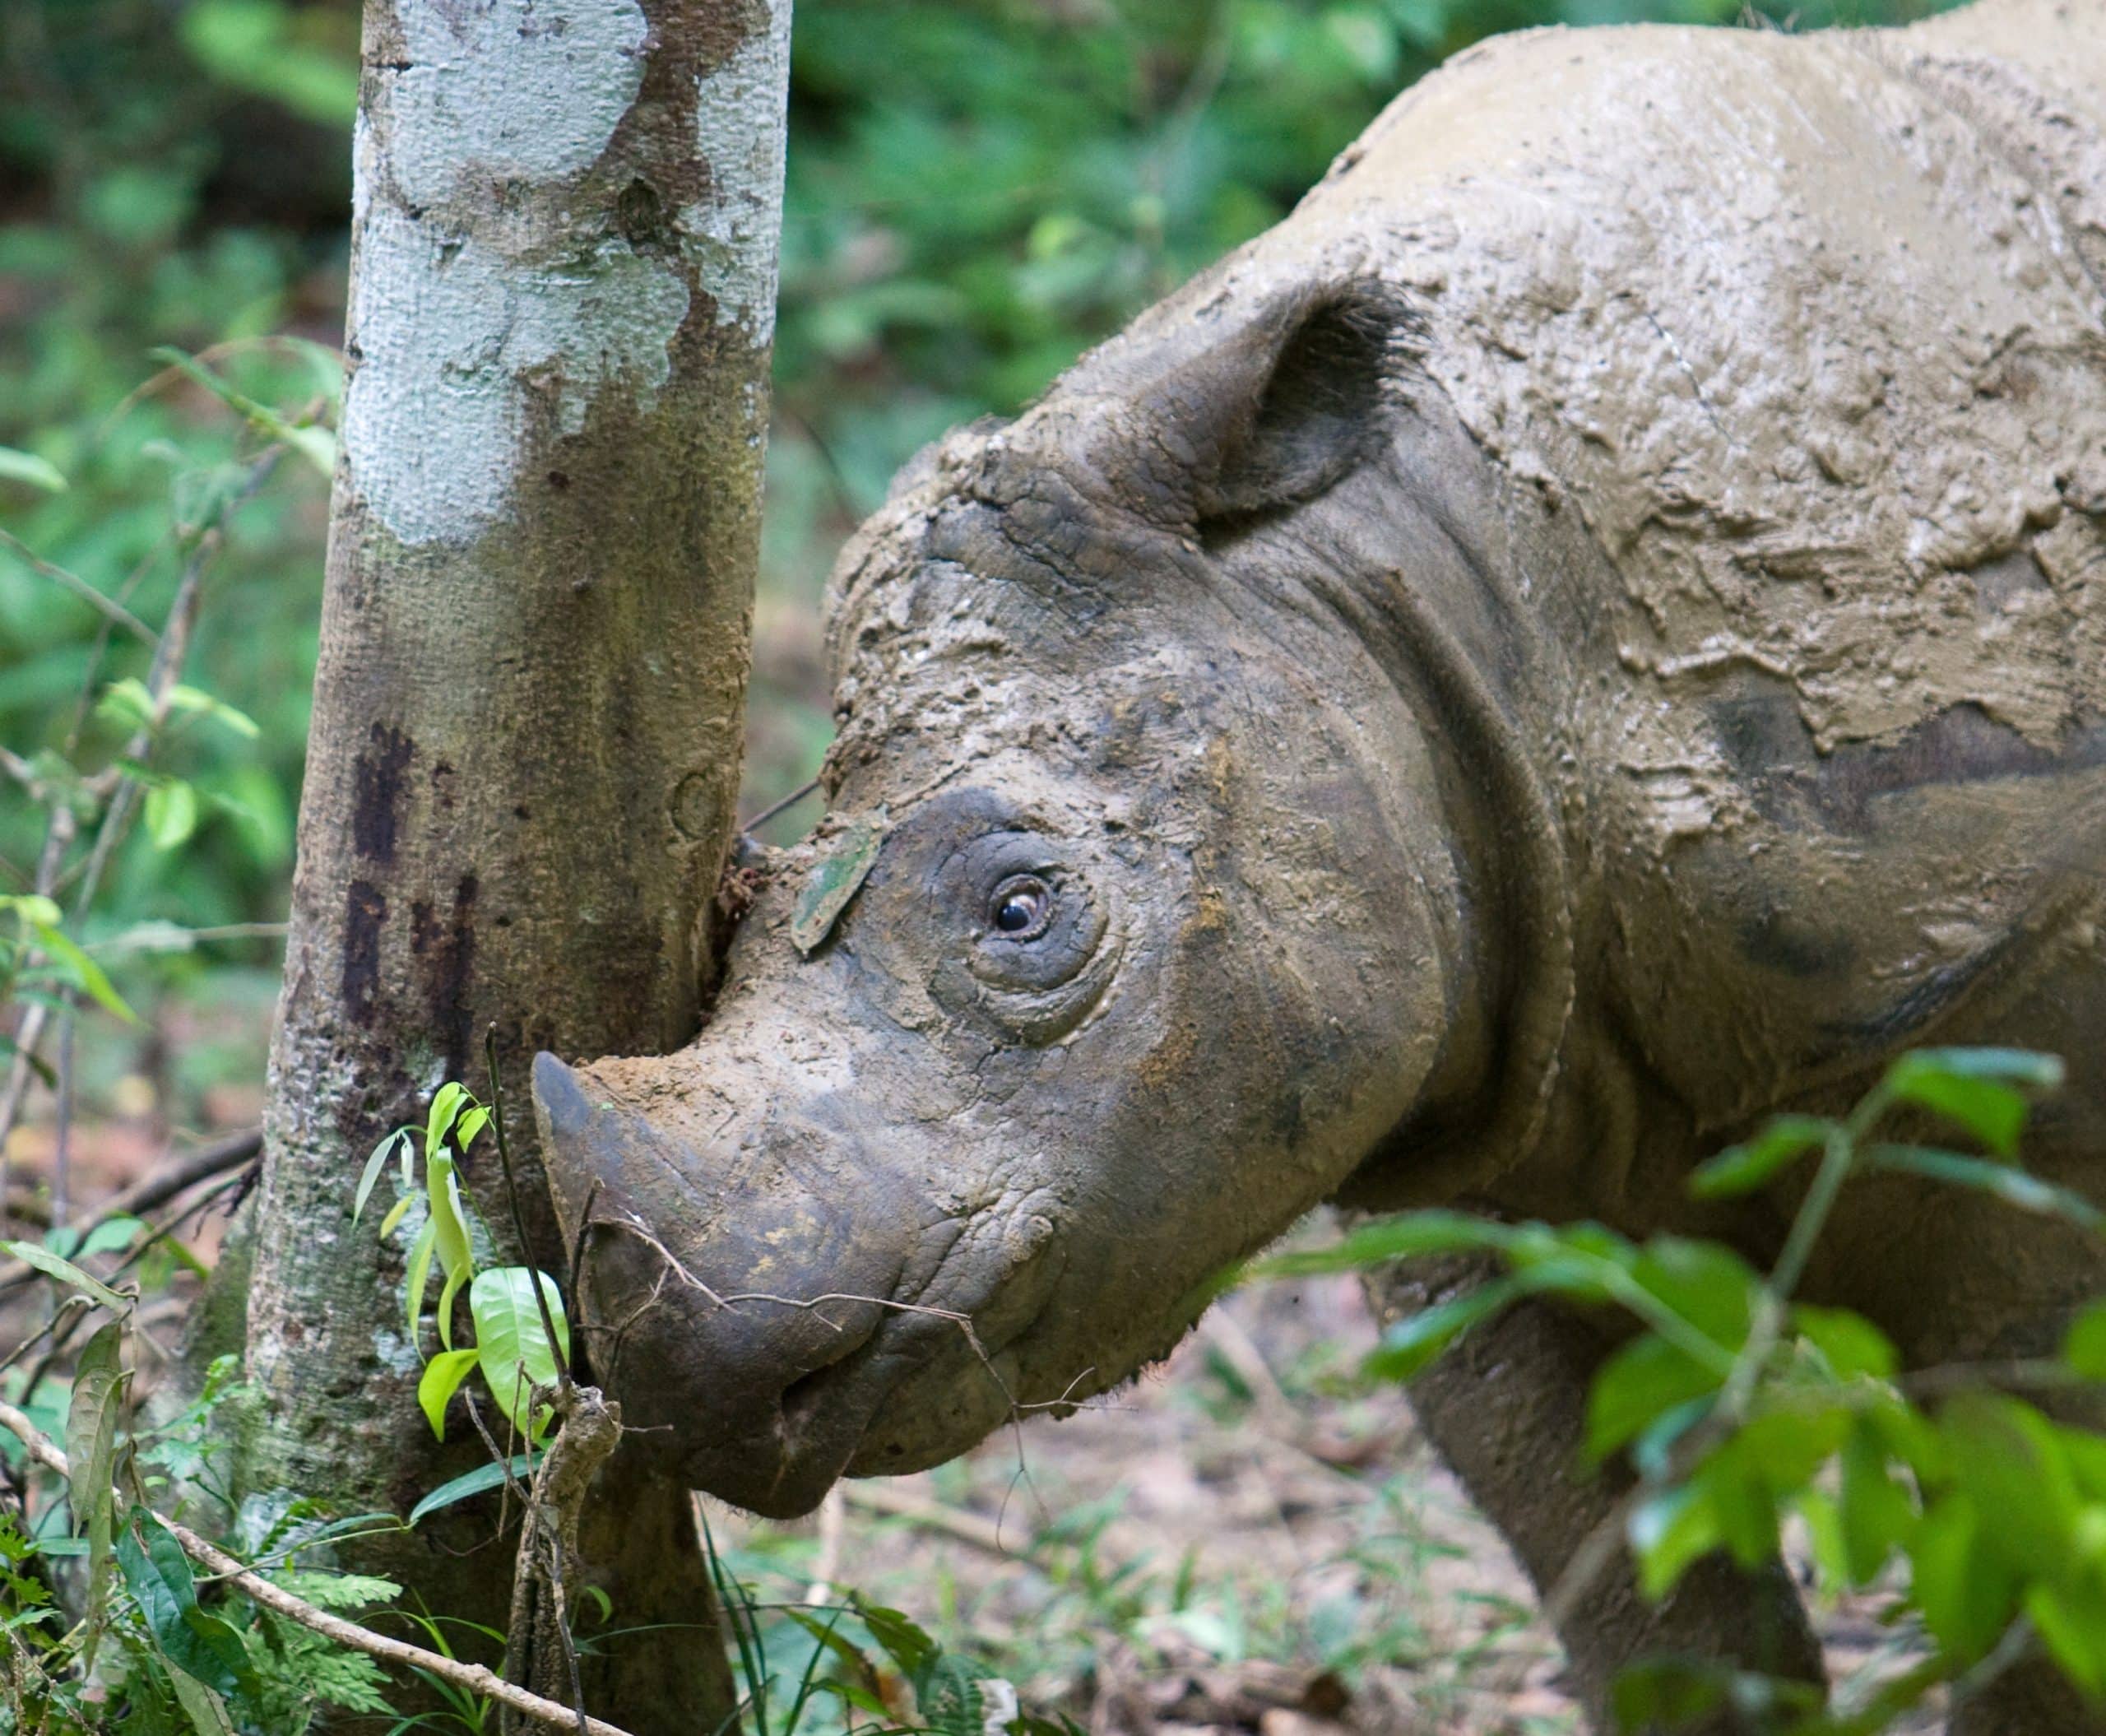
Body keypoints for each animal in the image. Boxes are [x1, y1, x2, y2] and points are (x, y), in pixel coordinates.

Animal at [539, 3, 2106, 1719]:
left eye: (1024, 910)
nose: (681, 1387)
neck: (1411, 580)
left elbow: (2033, 1563)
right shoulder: (1474, 1112)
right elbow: (1643, 1594)